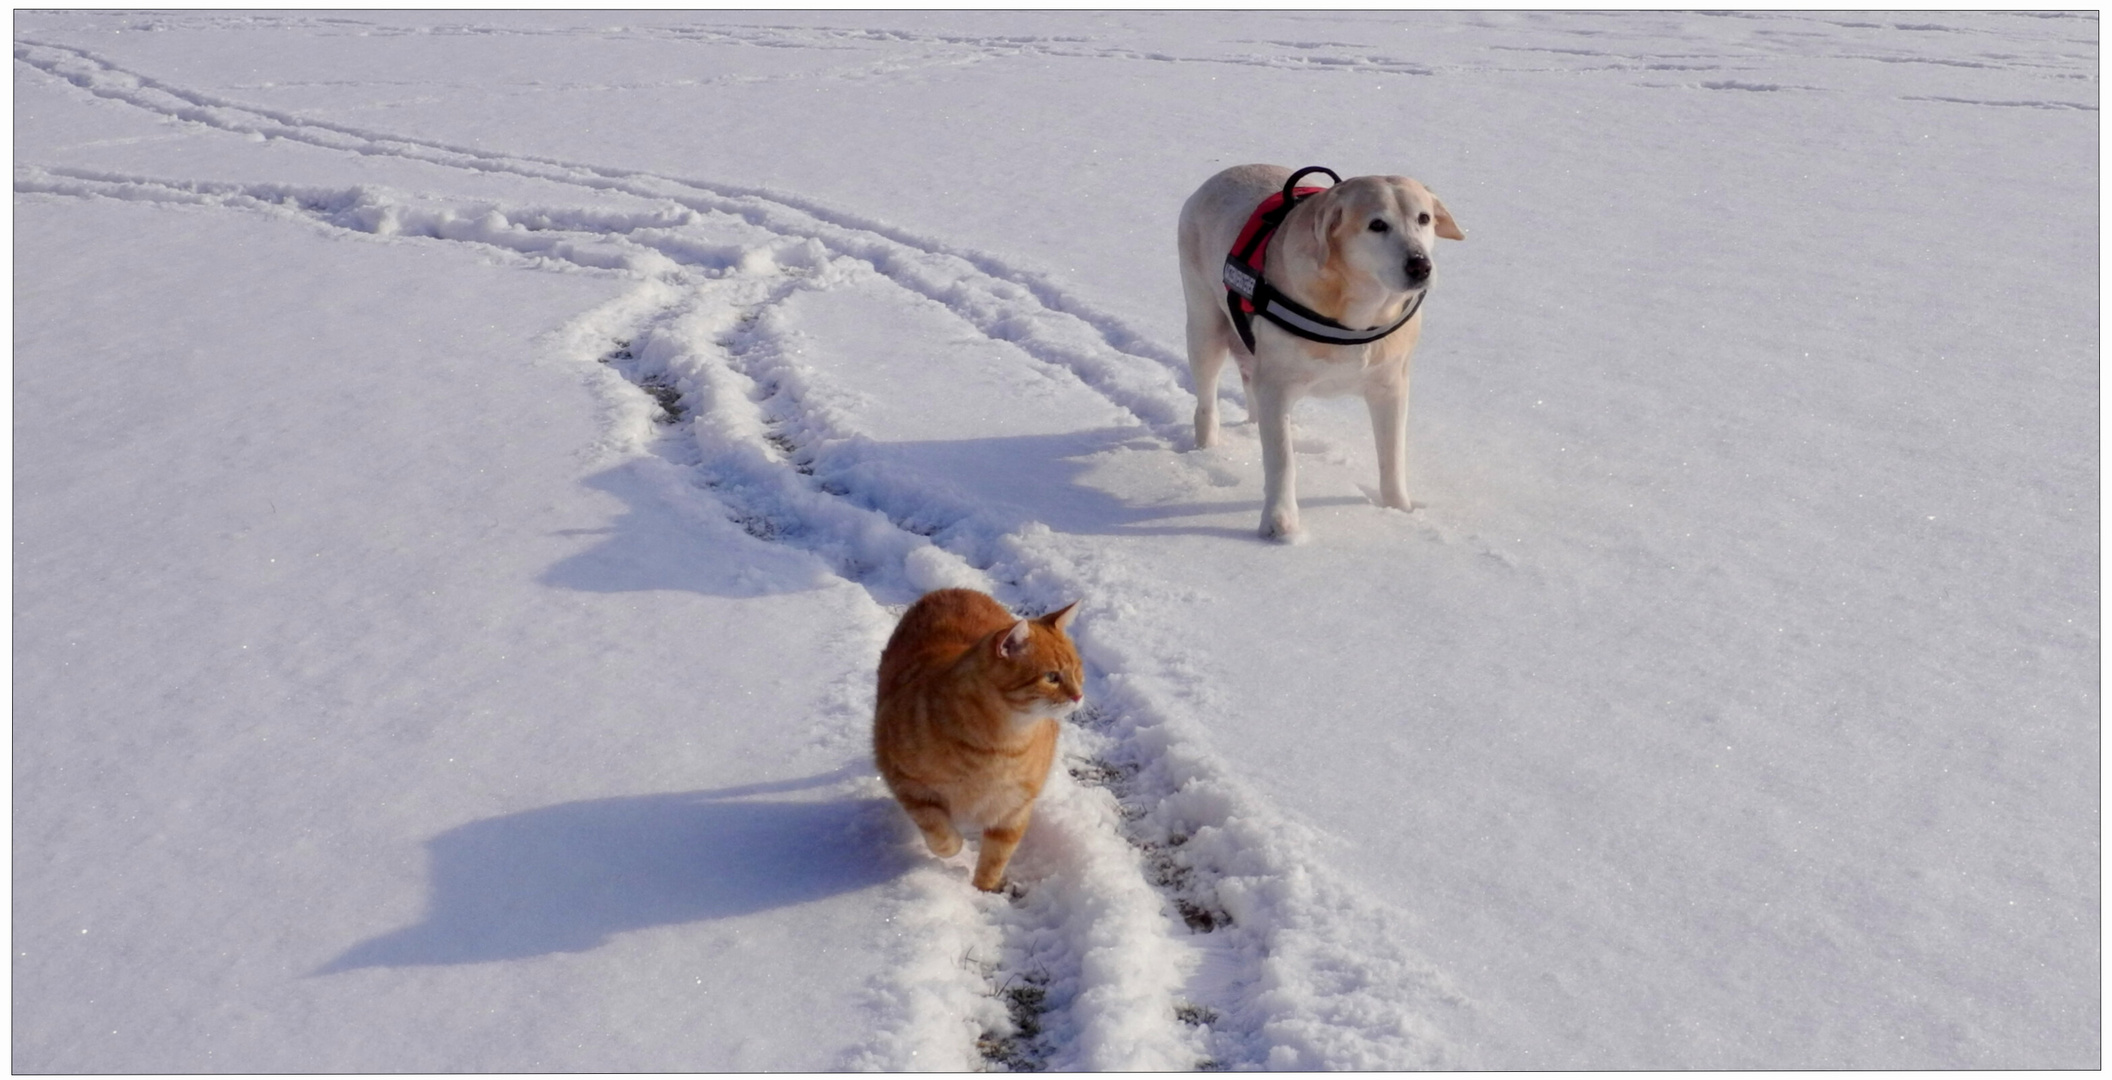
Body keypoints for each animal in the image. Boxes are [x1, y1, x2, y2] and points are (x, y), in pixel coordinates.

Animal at [870, 591, 1081, 887]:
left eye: (1077, 670)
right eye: (1051, 677)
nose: (1078, 695)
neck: (1001, 745)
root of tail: (953, 590)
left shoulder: (1015, 808)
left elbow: (995, 858)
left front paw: (982, 889)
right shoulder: (906, 782)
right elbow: (940, 834)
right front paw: (955, 847)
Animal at [1182, 163, 1461, 541]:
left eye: (1424, 218)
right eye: (1377, 224)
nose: (1420, 265)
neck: (1358, 314)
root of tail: (1219, 176)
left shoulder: (1390, 387)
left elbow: (1391, 456)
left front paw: (1397, 509)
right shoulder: (1277, 386)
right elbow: (1282, 461)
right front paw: (1281, 523)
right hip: (1205, 330)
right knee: (1207, 405)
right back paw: (1208, 451)